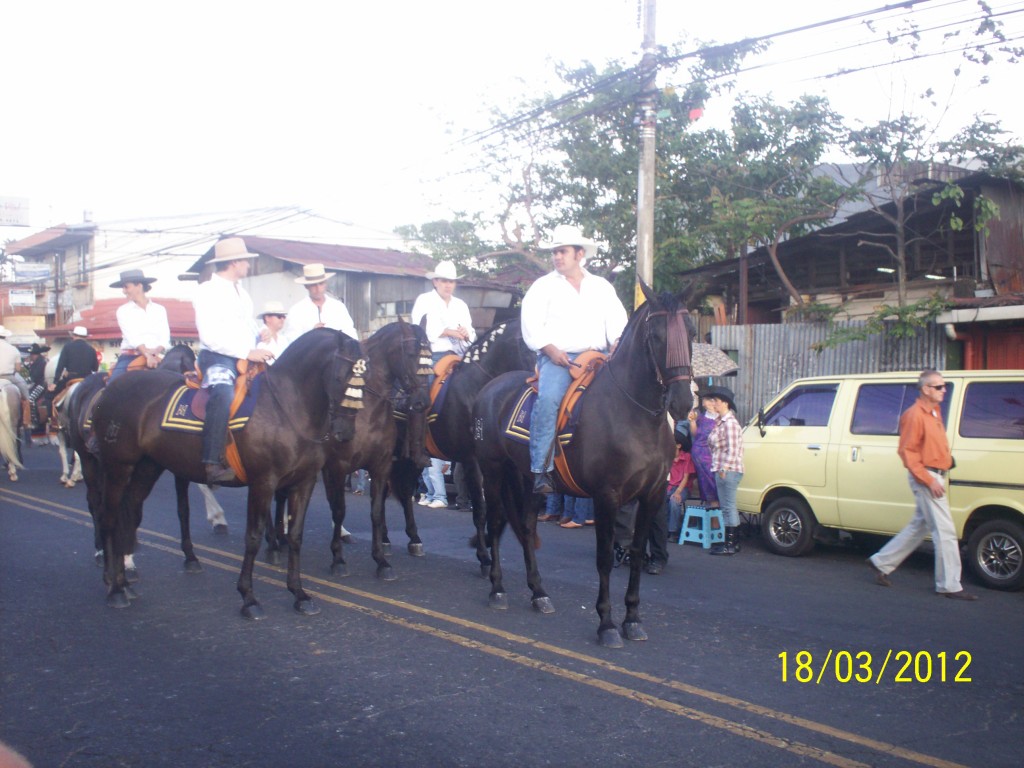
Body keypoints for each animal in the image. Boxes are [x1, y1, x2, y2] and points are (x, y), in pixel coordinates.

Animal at [91, 331, 364, 618]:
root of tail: (109, 390)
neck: (286, 408)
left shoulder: (304, 482)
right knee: (109, 518)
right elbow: (253, 537)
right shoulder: (263, 483)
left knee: (129, 515)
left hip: (147, 467)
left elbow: (295, 536)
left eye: (363, 379)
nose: (345, 432)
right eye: (340, 377)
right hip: (117, 467)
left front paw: (299, 594)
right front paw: (249, 598)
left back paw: (123, 582)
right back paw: (115, 588)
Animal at [266, 321, 430, 581]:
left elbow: (376, 511)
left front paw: (381, 560)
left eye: (430, 353)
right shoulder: (338, 467)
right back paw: (274, 542)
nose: (422, 400)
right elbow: (339, 510)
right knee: (280, 495)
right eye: (413, 353)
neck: (367, 412)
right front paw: (338, 559)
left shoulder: (381, 466)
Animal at [380, 315, 532, 573]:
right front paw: (484, 557)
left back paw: (414, 539)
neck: (478, 389)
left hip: (412, 458)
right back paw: (384, 539)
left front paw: (485, 545)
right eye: (527, 344)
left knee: (405, 491)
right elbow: (481, 508)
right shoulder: (473, 460)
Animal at [471, 286, 696, 647]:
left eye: (690, 332)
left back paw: (539, 593)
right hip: (492, 472)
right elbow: (604, 558)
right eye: (657, 336)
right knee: (493, 524)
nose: (683, 402)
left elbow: (636, 553)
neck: (634, 415)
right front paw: (606, 624)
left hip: (528, 480)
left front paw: (633, 619)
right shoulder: (606, 496)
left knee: (527, 527)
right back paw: (498, 589)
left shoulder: (652, 495)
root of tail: (489, 389)